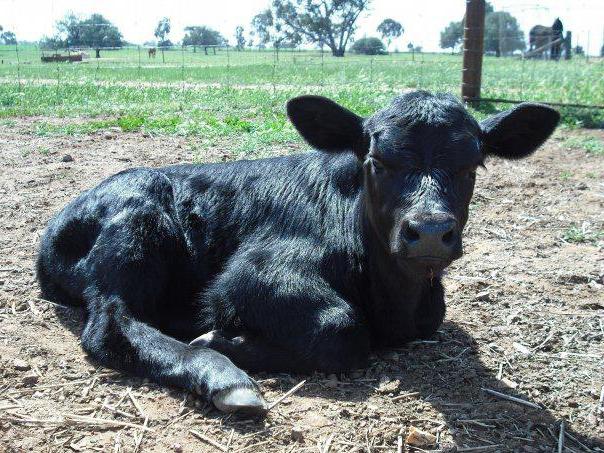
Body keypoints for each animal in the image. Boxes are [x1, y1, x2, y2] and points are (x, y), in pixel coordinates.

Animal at [36, 90, 556, 414]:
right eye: (377, 161)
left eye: (473, 164)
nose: (429, 232)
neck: (394, 301)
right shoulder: (251, 274)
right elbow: (341, 328)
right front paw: (221, 340)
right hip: (137, 221)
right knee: (112, 323)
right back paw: (223, 376)